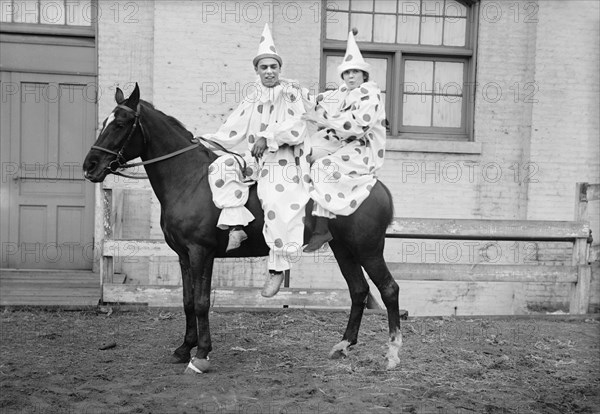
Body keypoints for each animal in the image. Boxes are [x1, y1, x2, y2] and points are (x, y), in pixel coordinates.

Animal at [83, 83, 404, 372]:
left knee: (389, 289)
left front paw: (201, 354)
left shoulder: (201, 253)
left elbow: (201, 302)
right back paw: (343, 345)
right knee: (359, 290)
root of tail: (375, 185)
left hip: (368, 250)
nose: (90, 166)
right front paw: (184, 348)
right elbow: (187, 301)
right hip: (343, 249)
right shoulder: (183, 255)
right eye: (105, 122)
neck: (190, 180)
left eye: (120, 124)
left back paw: (392, 355)